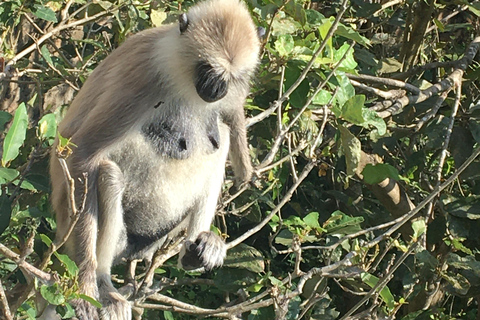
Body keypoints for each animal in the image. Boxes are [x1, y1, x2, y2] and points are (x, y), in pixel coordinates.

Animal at [48, 0, 262, 318]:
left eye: (230, 77)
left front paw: (243, 163)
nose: (217, 90)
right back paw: (102, 282)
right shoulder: (144, 74)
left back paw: (195, 248)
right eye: (207, 70)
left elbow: (228, 120)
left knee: (218, 138)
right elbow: (82, 156)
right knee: (107, 173)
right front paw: (84, 287)